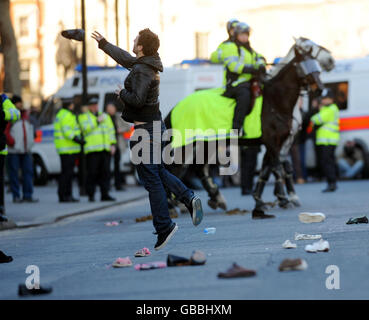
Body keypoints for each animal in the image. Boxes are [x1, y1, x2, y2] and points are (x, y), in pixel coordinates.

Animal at [164, 37, 334, 218]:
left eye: (315, 63)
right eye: (305, 62)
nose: (320, 89)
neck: (276, 101)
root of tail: (175, 107)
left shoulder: (280, 142)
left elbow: (269, 169)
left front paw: (262, 200)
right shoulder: (272, 142)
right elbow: (277, 167)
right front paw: (284, 198)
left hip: (207, 144)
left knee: (198, 169)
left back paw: (215, 199)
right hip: (187, 146)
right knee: (174, 169)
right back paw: (172, 206)